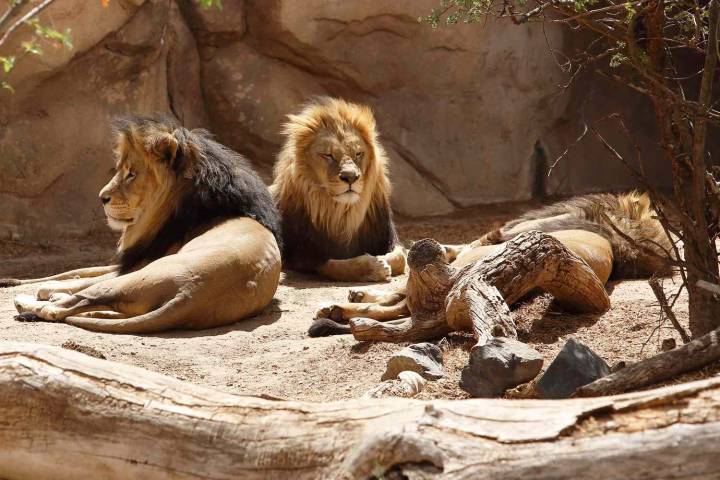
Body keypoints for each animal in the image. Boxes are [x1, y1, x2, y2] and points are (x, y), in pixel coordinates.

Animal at [2, 115, 282, 334]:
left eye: (131, 173)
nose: (102, 197)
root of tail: (191, 295)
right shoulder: (130, 260)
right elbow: (76, 271)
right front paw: (13, 279)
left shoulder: (135, 264)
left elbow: (77, 280)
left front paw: (46, 288)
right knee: (93, 307)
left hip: (139, 276)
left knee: (68, 305)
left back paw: (28, 304)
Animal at [270, 96, 405, 282]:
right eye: (328, 155)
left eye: (358, 153)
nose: (350, 177)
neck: (340, 213)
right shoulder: (301, 255)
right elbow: (334, 266)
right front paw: (372, 267)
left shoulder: (389, 238)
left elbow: (401, 258)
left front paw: (381, 260)